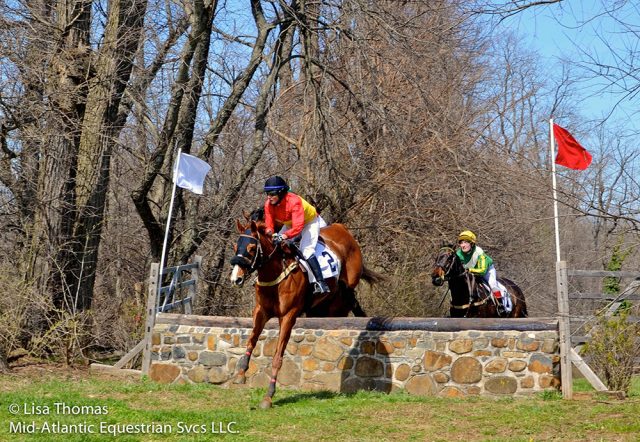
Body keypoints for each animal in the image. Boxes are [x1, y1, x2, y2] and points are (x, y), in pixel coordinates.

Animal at [229, 218, 382, 408]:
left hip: (343, 295)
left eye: (251, 248)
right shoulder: (261, 311)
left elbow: (277, 356)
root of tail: (342, 229)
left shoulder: (288, 316)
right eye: (236, 247)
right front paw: (241, 373)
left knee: (351, 301)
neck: (275, 274)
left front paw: (268, 396)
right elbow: (251, 340)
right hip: (321, 307)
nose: (236, 279)